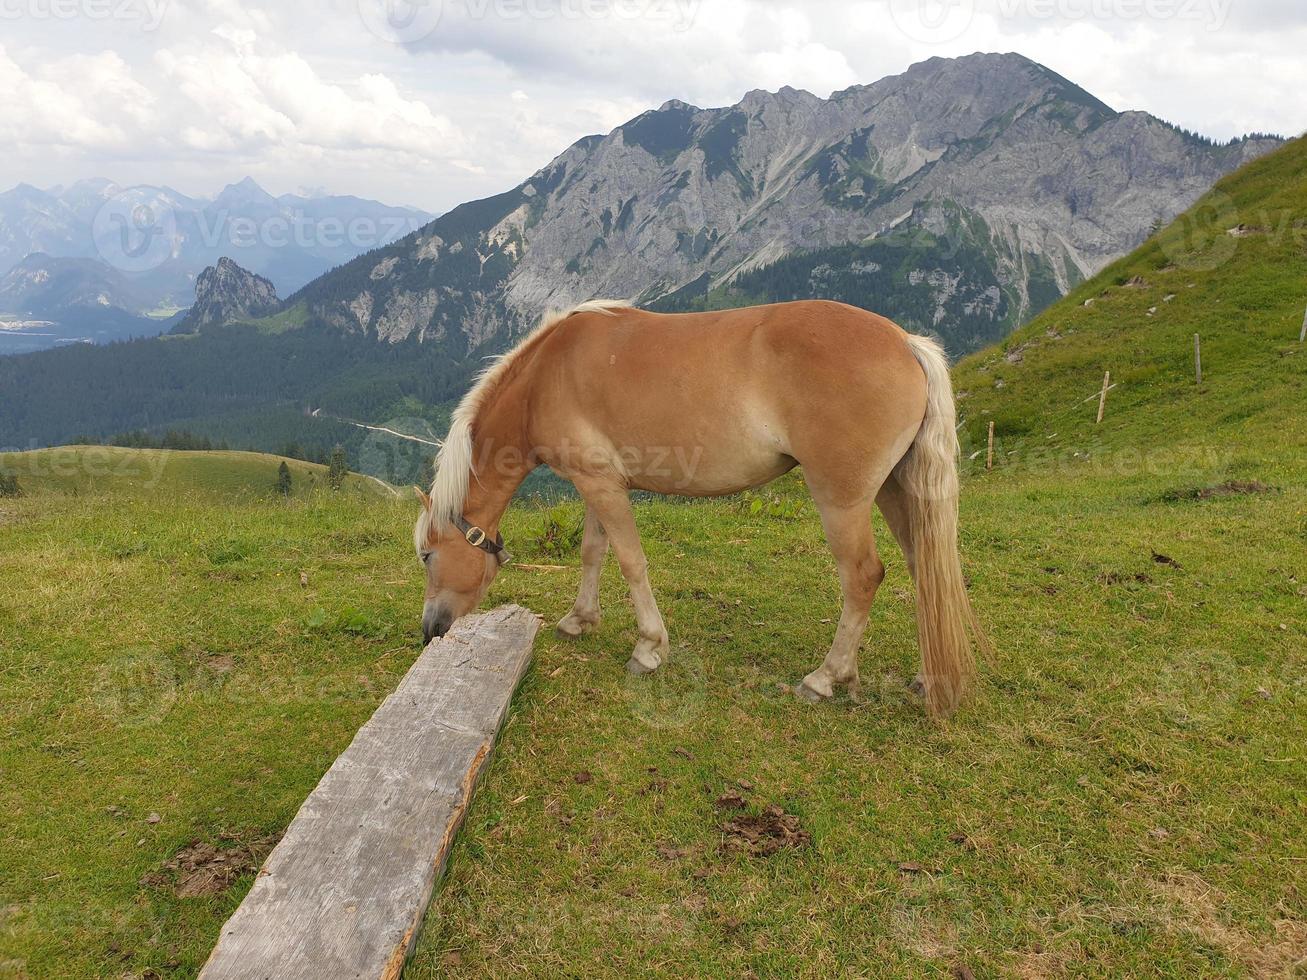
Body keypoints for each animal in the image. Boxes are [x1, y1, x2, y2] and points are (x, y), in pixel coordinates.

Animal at [418, 297, 988, 716]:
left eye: (426, 556)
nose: (431, 631)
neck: (546, 376)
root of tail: (905, 342)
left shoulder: (602, 486)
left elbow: (630, 562)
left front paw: (649, 649)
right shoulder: (597, 483)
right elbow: (593, 553)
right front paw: (580, 619)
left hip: (842, 501)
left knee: (864, 576)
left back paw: (825, 678)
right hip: (897, 490)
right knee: (925, 569)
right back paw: (928, 676)